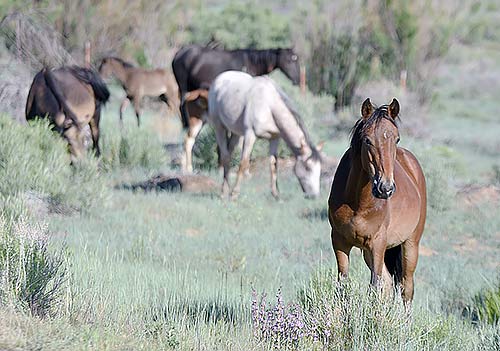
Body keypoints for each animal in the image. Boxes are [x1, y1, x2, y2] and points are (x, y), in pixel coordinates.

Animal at [170, 44, 302, 174]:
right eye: (289, 59)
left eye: (296, 58)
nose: (297, 80)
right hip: (195, 117)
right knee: (188, 140)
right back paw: (189, 169)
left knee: (189, 139)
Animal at [195, 70, 320, 199]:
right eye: (308, 168)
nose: (314, 195)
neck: (269, 105)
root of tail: (219, 79)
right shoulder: (250, 135)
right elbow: (244, 163)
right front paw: (234, 194)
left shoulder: (274, 138)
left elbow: (273, 164)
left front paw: (276, 194)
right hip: (219, 127)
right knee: (225, 156)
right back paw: (224, 192)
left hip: (236, 133)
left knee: (228, 153)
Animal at [328, 98, 426, 302]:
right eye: (367, 140)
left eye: (396, 138)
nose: (385, 188)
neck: (358, 203)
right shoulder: (339, 241)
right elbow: (342, 286)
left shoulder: (378, 244)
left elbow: (374, 286)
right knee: (388, 284)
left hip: (411, 245)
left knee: (406, 288)